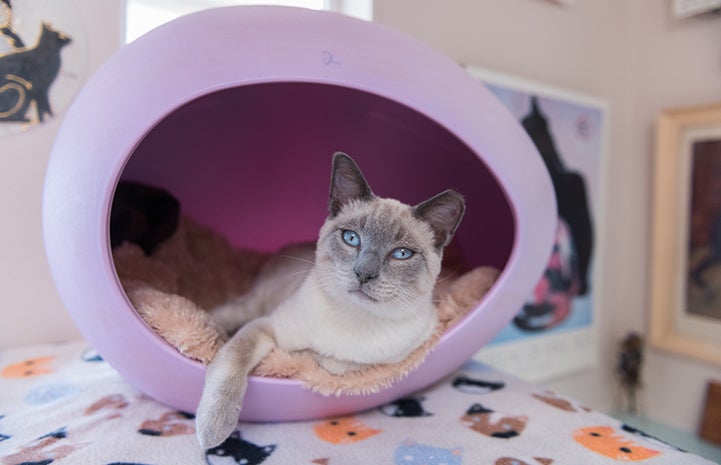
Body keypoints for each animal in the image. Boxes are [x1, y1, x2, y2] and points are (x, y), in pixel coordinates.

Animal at [194, 151, 464, 446]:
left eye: (401, 254)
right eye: (351, 238)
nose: (364, 273)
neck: (353, 317)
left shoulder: (388, 359)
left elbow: (330, 363)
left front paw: (310, 356)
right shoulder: (265, 326)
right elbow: (232, 359)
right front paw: (212, 431)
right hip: (251, 306)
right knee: (221, 316)